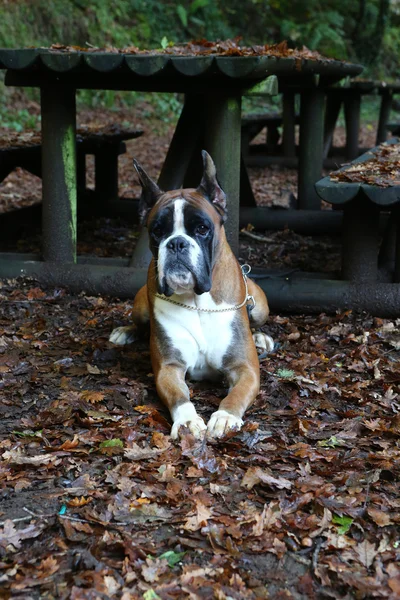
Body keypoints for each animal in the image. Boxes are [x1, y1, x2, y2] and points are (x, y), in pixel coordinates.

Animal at [109, 151, 274, 440]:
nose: (176, 243)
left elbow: (236, 394)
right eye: (157, 231)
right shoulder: (169, 368)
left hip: (259, 304)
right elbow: (179, 397)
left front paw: (225, 416)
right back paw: (125, 332)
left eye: (202, 229)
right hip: (140, 307)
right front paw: (187, 421)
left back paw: (261, 337)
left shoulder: (245, 369)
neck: (198, 302)